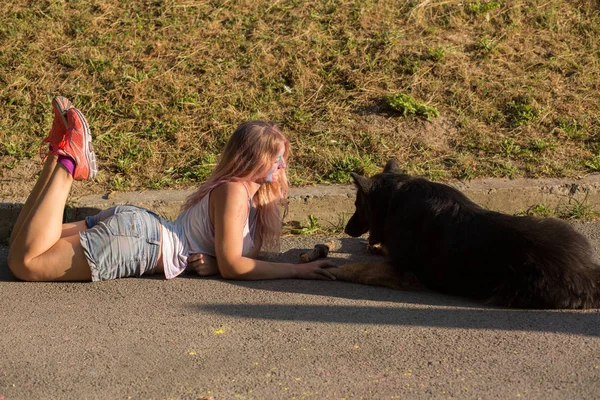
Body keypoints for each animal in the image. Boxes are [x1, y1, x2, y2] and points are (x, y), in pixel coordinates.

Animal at [330, 159, 600, 310]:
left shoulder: (402, 272)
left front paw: (340, 269)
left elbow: (362, 269)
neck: (396, 195)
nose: (346, 229)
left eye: (357, 204)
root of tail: (585, 271)